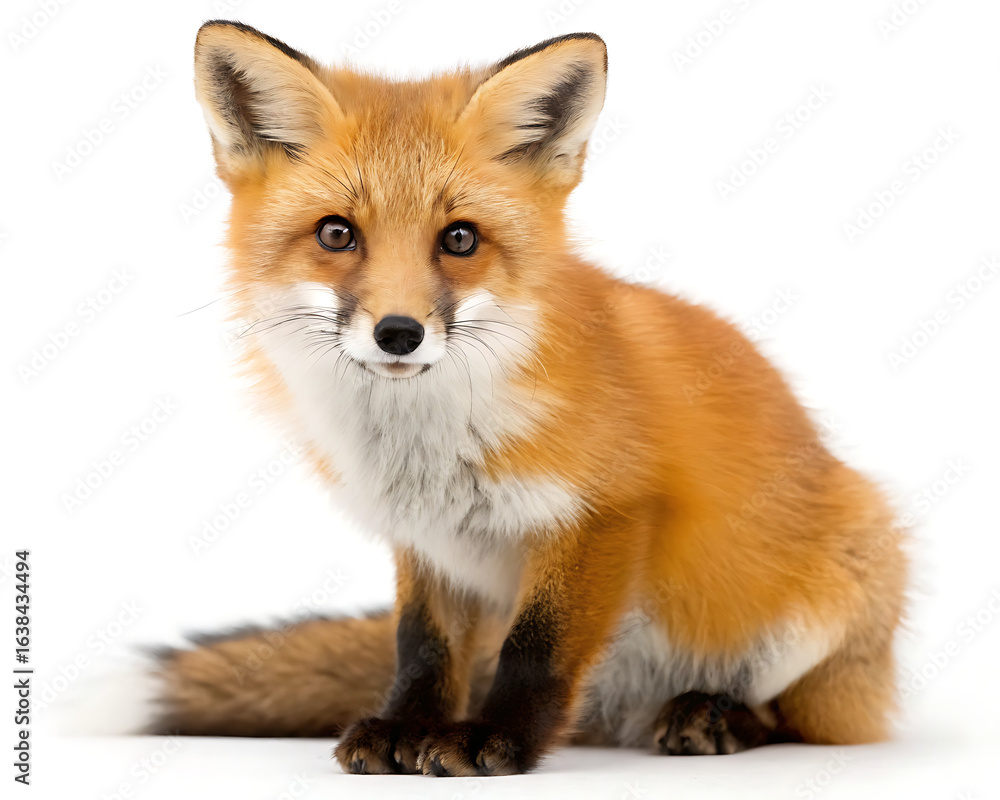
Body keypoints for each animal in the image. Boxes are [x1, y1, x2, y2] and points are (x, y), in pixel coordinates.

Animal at [148, 21, 908, 777]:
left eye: (460, 238)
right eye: (337, 233)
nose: (399, 333)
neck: (429, 441)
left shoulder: (607, 513)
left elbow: (537, 650)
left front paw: (495, 739)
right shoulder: (427, 541)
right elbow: (421, 647)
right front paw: (408, 729)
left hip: (836, 581)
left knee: (796, 720)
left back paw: (714, 714)